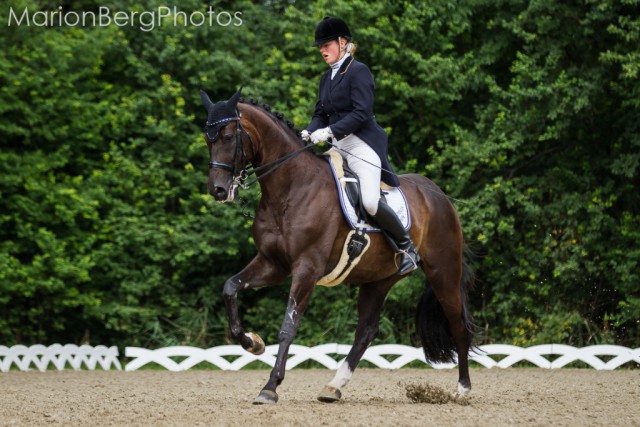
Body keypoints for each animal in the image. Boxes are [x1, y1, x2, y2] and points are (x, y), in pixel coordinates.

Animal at [200, 88, 476, 404]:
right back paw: (333, 387)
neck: (290, 189)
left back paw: (463, 389)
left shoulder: (306, 269)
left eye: (228, 136)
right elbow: (230, 287)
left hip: (444, 271)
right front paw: (252, 343)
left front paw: (270, 387)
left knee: (458, 325)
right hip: (378, 280)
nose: (218, 190)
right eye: (207, 138)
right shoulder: (273, 264)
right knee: (366, 331)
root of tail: (438, 194)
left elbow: (288, 327)